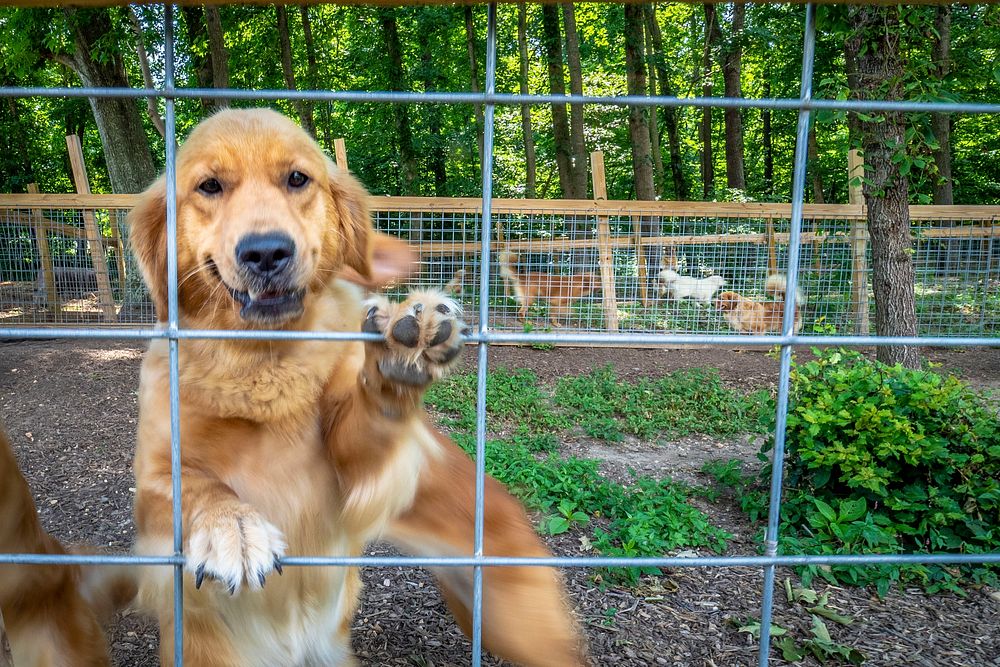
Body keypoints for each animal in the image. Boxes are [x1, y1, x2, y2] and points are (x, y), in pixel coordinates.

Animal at [129, 109, 588, 667]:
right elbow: (193, 487)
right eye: (209, 186)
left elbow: (369, 421)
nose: (266, 251)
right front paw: (231, 526)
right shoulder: (153, 479)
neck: (264, 363)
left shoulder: (352, 480)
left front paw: (398, 357)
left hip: (518, 626)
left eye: (297, 178)